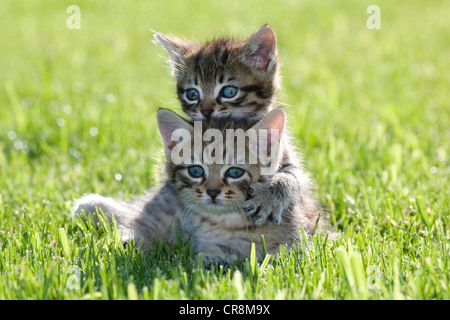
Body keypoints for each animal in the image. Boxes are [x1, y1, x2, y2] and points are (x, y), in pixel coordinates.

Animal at [72, 108, 322, 264]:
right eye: (196, 171)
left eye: (235, 172)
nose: (212, 191)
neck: (230, 223)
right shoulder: (211, 245)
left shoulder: (299, 245)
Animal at [154, 25, 310, 225]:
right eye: (192, 94)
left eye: (229, 91)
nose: (205, 111)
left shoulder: (288, 158)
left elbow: (291, 177)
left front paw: (269, 196)